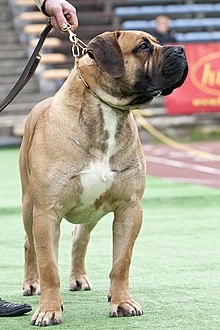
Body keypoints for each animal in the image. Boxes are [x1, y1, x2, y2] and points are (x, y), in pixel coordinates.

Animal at [19, 30, 187, 324]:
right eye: (143, 46)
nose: (181, 49)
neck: (107, 110)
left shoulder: (130, 208)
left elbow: (121, 262)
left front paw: (122, 302)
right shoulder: (47, 211)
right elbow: (49, 265)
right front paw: (48, 309)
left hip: (91, 211)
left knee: (80, 238)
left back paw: (79, 278)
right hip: (29, 205)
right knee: (32, 246)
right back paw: (32, 283)